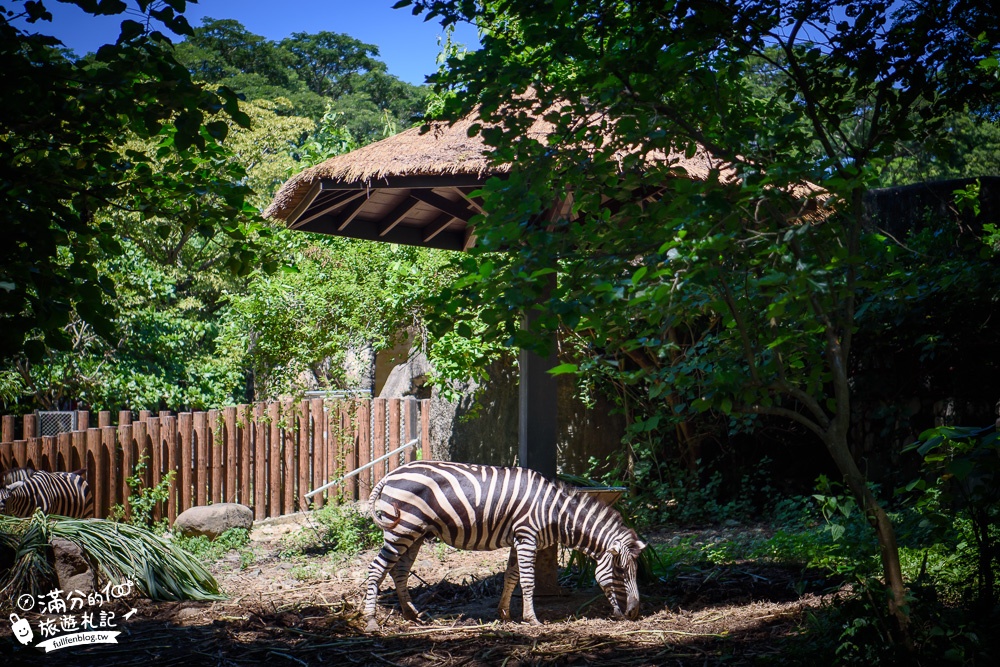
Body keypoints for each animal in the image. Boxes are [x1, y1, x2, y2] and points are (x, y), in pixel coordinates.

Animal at [364, 462, 644, 628]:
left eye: (635, 572)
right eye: (620, 571)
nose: (633, 613)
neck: (553, 512)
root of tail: (390, 474)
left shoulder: (518, 540)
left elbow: (511, 576)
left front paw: (505, 614)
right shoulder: (527, 537)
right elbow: (528, 580)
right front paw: (532, 619)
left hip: (415, 533)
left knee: (398, 571)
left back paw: (411, 614)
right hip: (402, 528)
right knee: (377, 568)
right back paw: (371, 621)